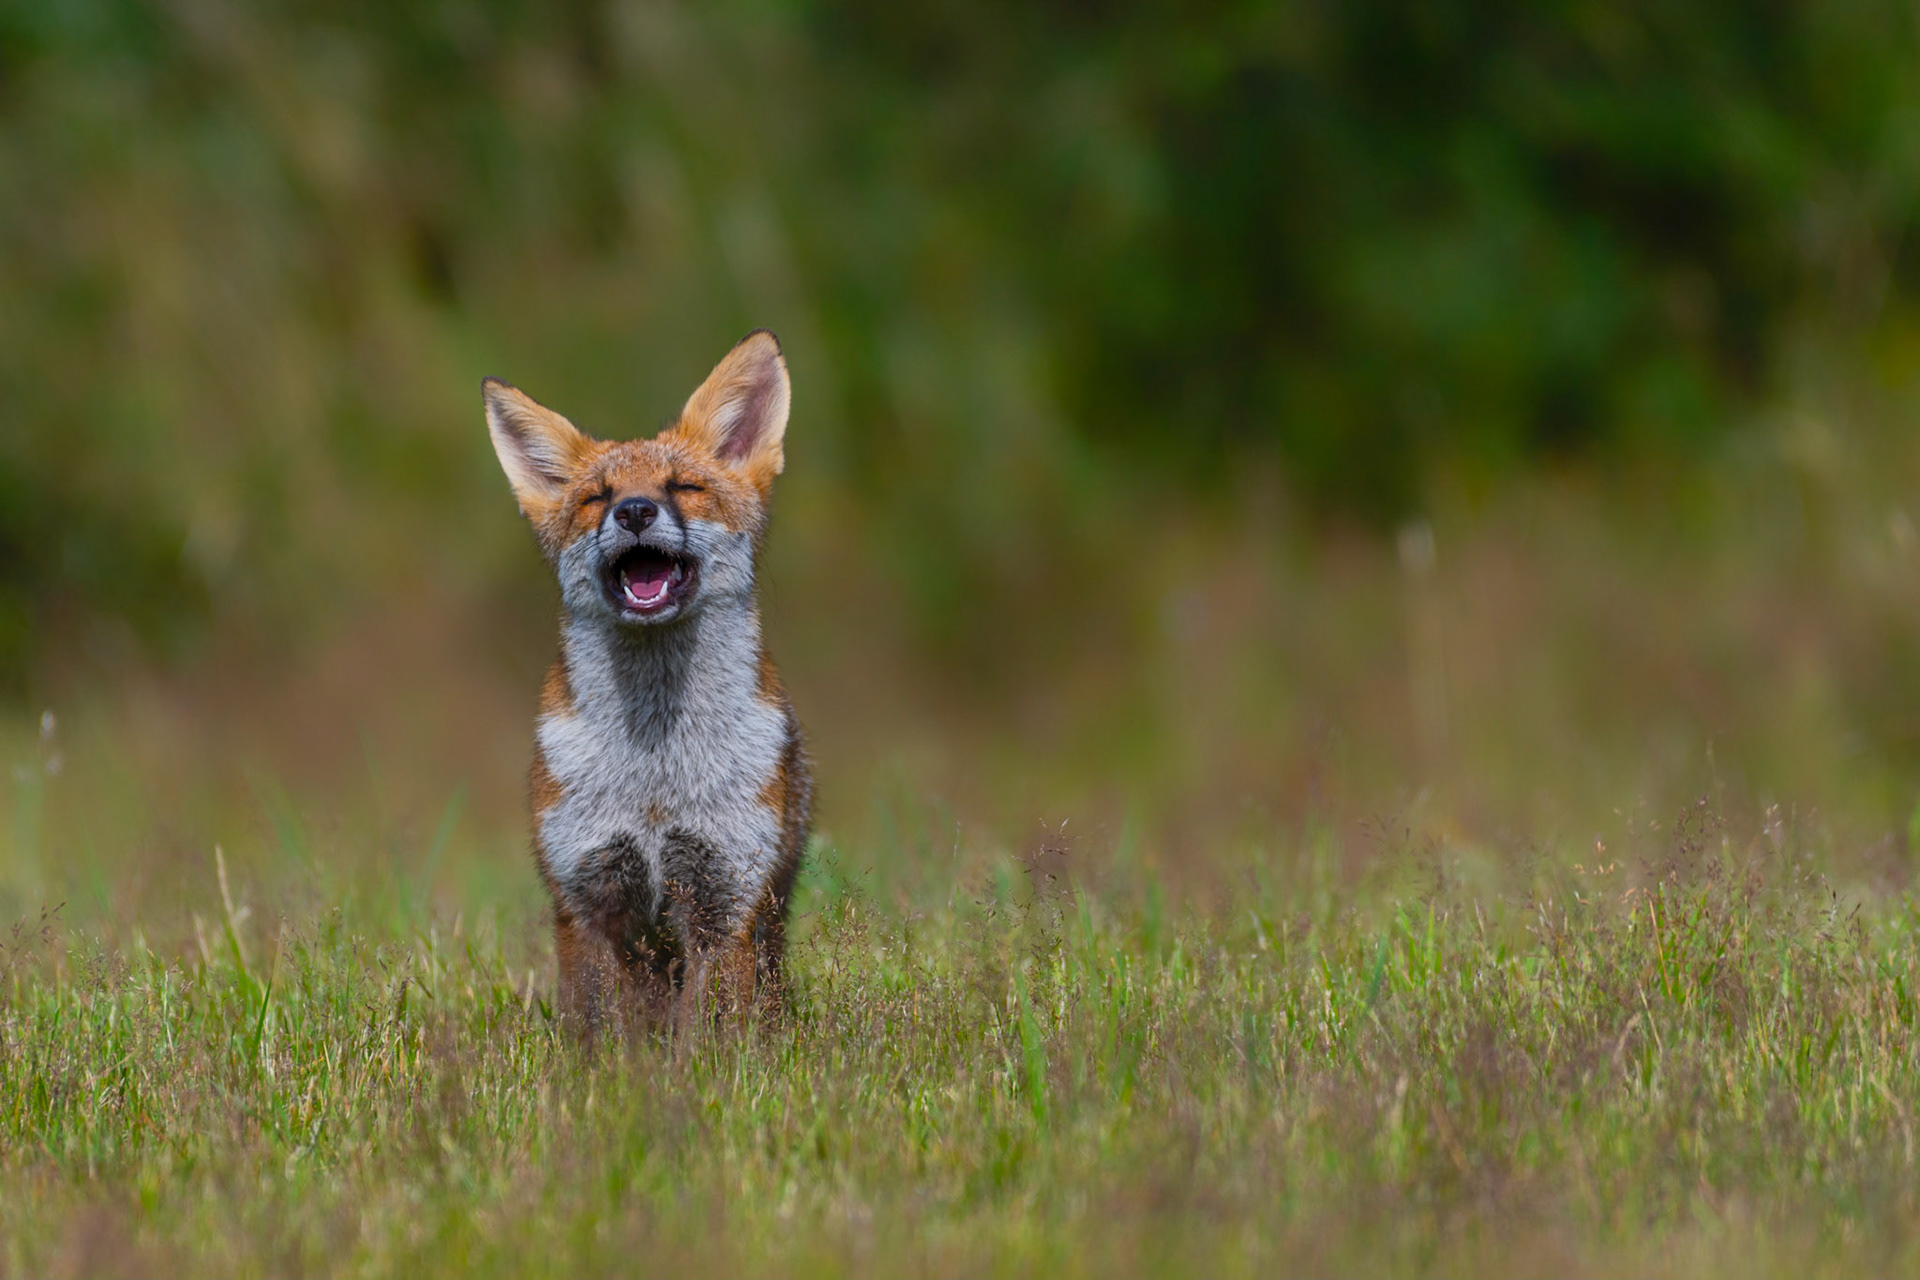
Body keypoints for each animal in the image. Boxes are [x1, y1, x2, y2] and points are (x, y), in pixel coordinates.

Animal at [481, 330, 811, 1036]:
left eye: (683, 486)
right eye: (596, 498)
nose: (634, 511)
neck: (656, 775)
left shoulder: (725, 901)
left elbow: (712, 1038)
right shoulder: (588, 899)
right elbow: (602, 1035)